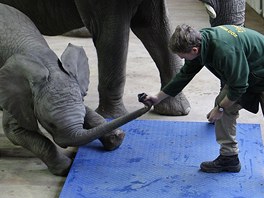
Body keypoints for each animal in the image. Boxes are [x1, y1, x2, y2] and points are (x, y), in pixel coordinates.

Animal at [0, 3, 130, 175]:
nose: (144, 98)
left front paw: (116, 139)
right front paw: (65, 168)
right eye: (50, 124)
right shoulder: (15, 90)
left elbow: (87, 110)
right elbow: (16, 131)